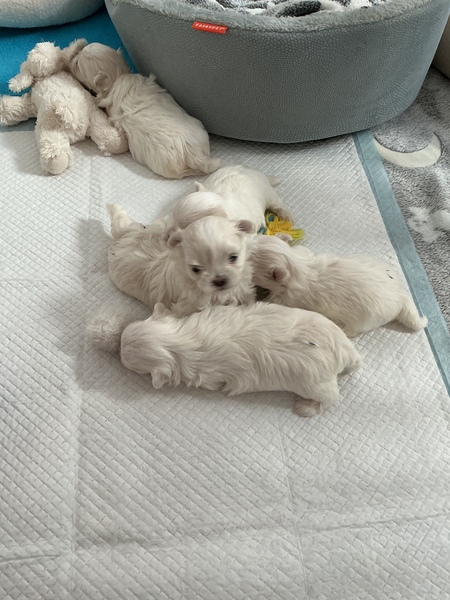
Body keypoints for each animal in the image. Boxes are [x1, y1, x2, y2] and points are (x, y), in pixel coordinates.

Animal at [90, 302, 362, 417]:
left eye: (127, 362)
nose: (119, 346)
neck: (178, 342)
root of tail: (345, 352)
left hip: (317, 383)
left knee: (330, 399)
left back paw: (306, 407)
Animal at [107, 204, 256, 317]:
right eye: (195, 269)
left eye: (233, 257)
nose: (219, 280)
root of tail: (123, 233)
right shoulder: (188, 307)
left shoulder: (242, 287)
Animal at [250, 235, 428, 337]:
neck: (296, 265)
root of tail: (401, 295)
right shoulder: (301, 252)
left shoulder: (287, 299)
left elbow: (272, 301)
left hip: (366, 320)